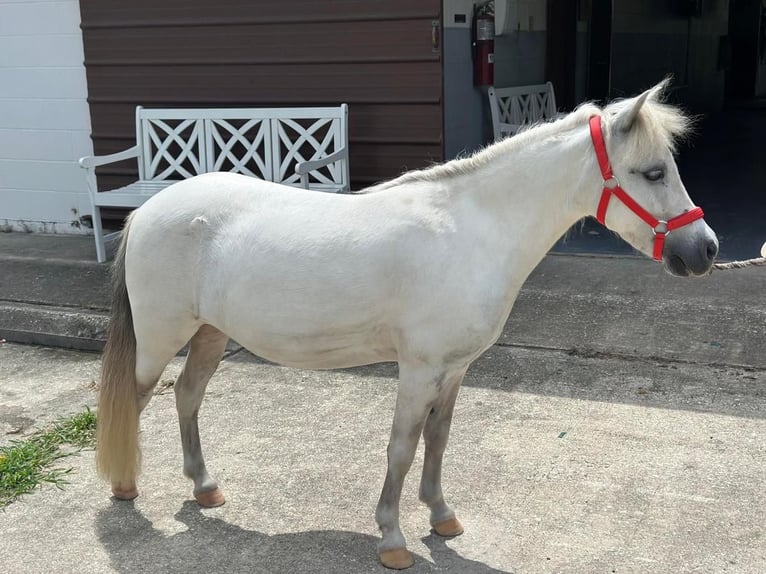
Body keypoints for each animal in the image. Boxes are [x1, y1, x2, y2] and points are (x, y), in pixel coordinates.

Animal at [96, 82, 720, 572]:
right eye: (653, 172)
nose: (706, 250)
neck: (471, 230)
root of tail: (147, 211)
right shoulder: (418, 370)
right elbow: (401, 446)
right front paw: (393, 540)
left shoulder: (454, 370)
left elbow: (437, 440)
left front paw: (442, 517)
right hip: (160, 339)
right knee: (137, 398)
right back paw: (125, 486)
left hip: (210, 334)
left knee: (187, 396)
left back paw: (205, 488)